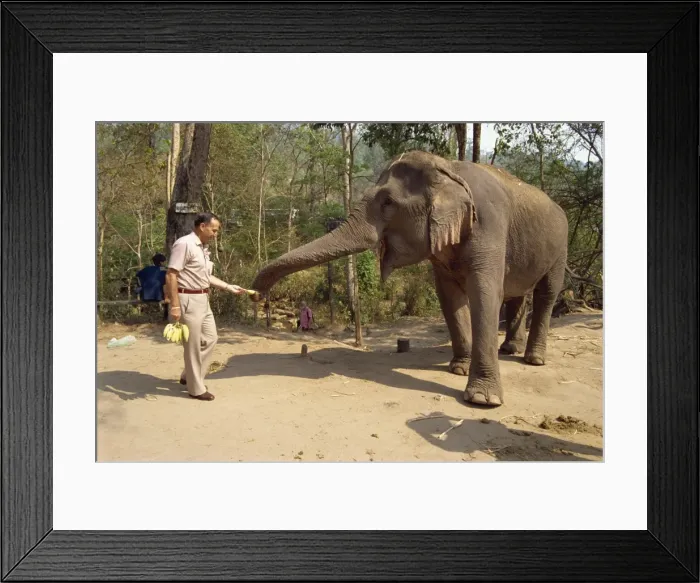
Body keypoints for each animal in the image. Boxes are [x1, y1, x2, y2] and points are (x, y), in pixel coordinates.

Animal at [250, 150, 569, 407]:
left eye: (388, 202)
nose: (257, 294)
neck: (449, 167)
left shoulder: (489, 226)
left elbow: (485, 293)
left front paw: (482, 399)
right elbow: (449, 296)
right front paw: (458, 369)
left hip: (560, 249)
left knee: (546, 294)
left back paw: (534, 359)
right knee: (519, 294)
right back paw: (510, 349)